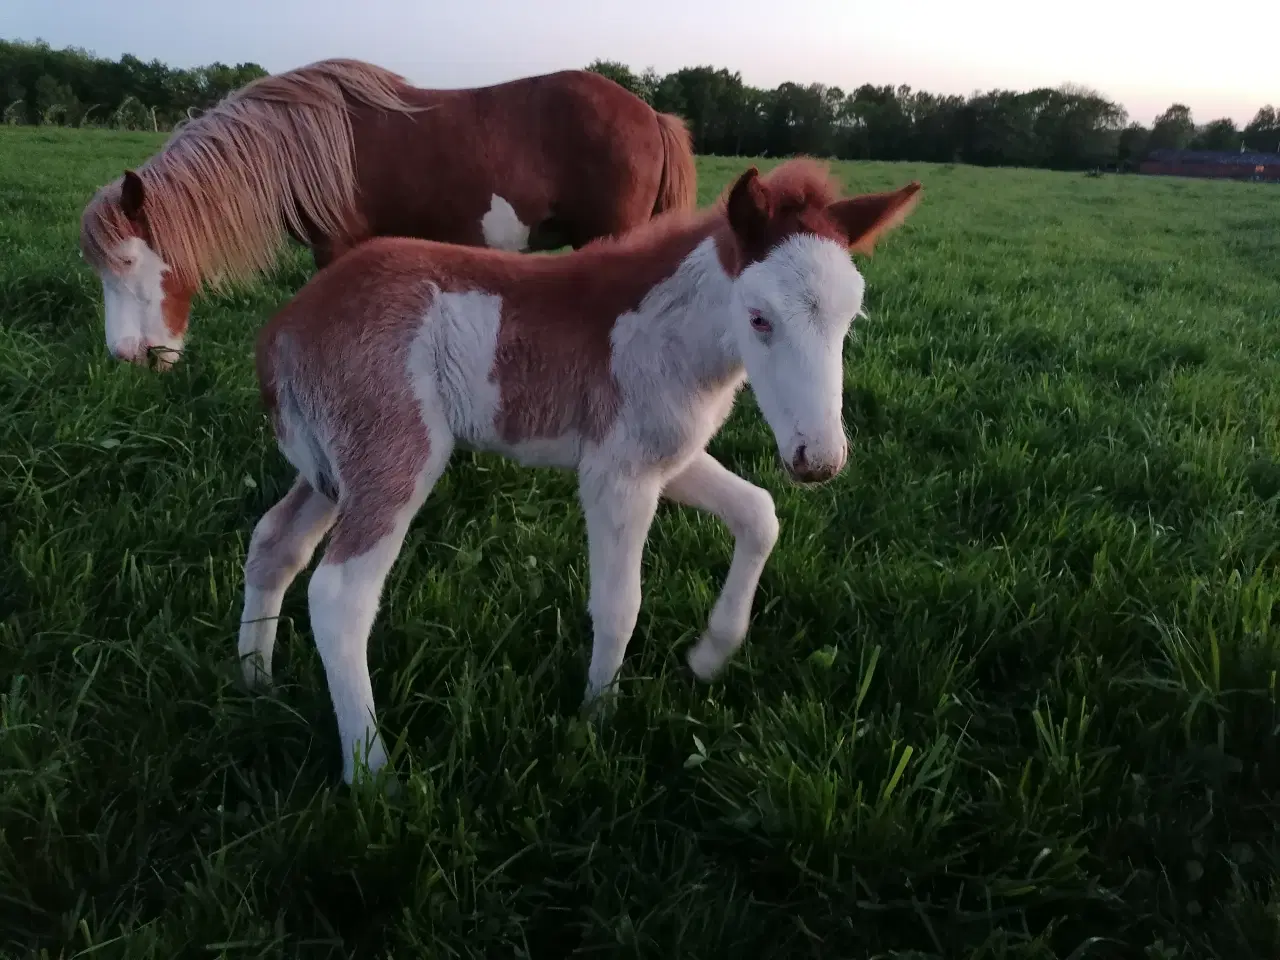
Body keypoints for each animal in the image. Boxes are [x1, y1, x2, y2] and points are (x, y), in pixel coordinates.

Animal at [240, 158, 921, 783]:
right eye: (759, 317)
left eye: (851, 319)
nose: (819, 460)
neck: (671, 334)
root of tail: (282, 331)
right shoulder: (617, 477)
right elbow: (621, 604)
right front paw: (595, 724)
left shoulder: (664, 458)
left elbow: (760, 514)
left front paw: (709, 657)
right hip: (394, 454)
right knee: (339, 594)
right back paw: (372, 774)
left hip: (335, 470)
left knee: (274, 542)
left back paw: (254, 682)